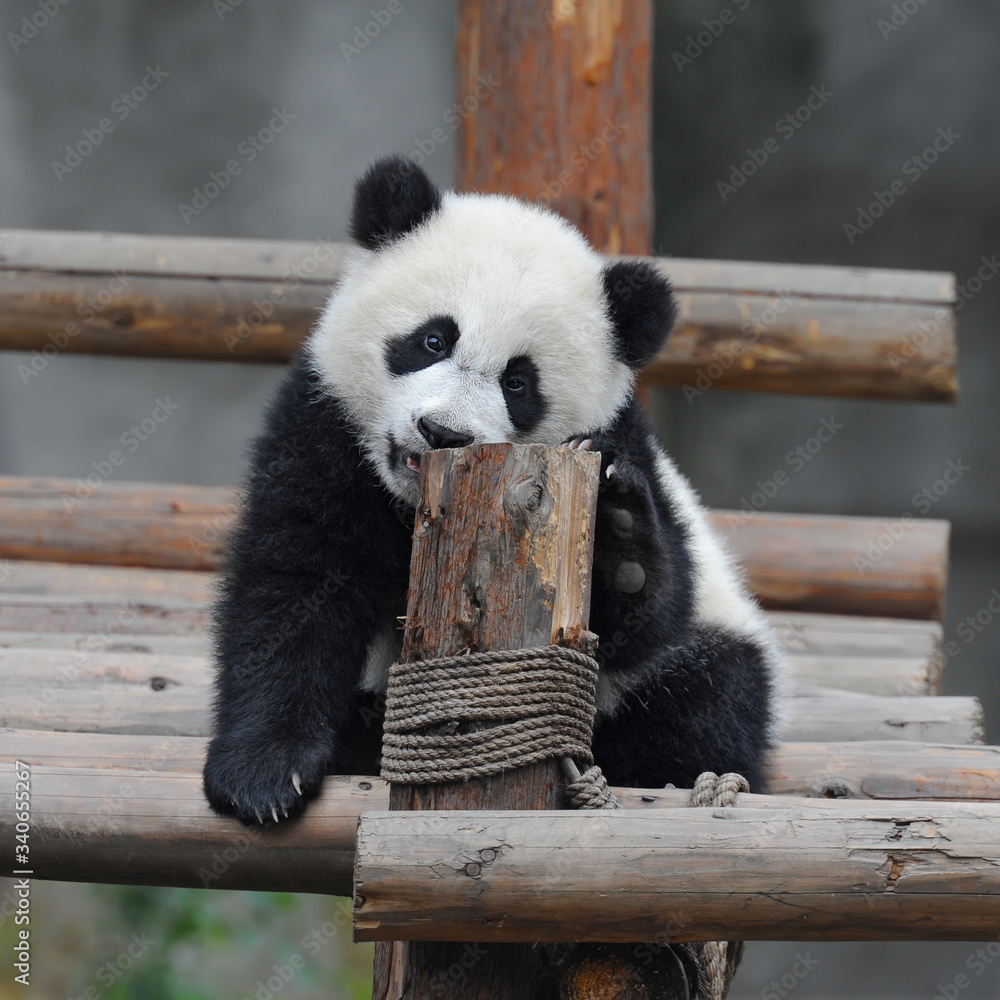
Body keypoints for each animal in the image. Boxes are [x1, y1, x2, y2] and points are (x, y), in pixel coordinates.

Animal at [203, 155, 779, 826]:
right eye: (433, 339)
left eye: (518, 382)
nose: (443, 433)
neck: (408, 504)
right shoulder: (322, 429)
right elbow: (293, 585)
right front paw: (263, 775)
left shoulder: (617, 443)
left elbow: (647, 618)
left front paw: (620, 540)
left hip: (712, 651)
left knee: (703, 703)